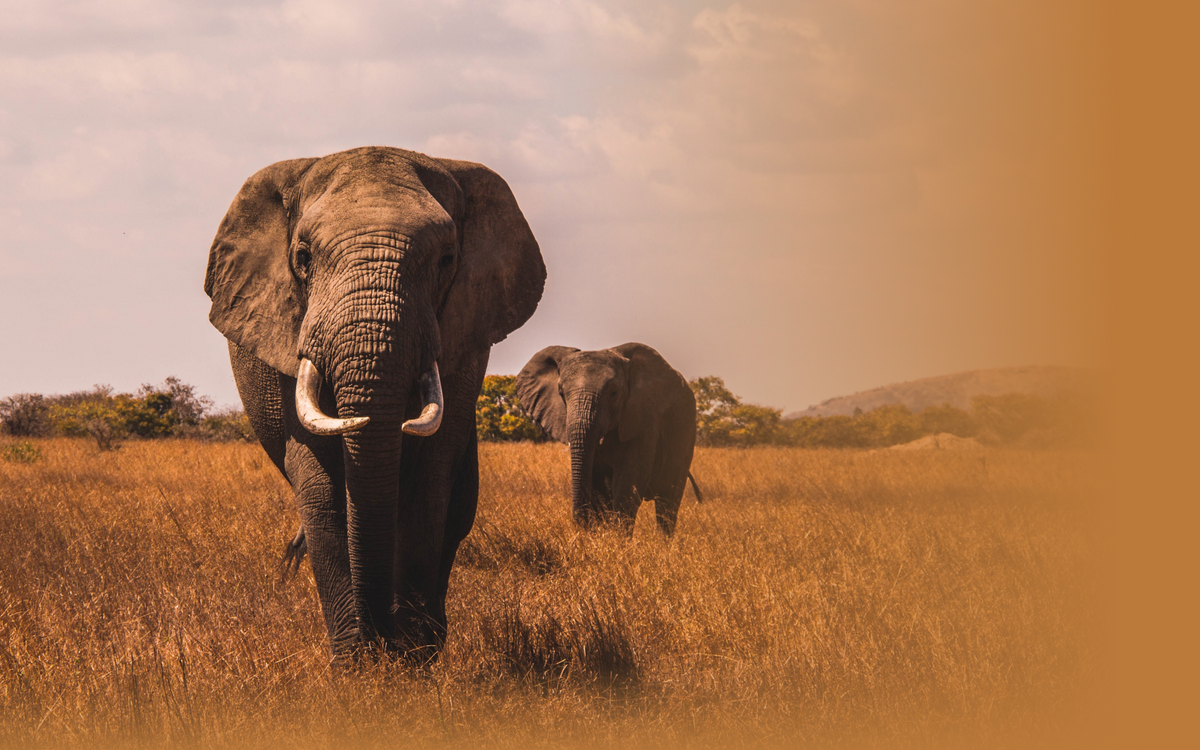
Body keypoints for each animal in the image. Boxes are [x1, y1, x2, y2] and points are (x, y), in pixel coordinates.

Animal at [204, 146, 545, 662]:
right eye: (302, 258)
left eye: (447, 259)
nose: (382, 639)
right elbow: (321, 488)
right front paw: (357, 664)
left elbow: (429, 485)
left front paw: (412, 659)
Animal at [515, 343, 701, 535]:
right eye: (561, 393)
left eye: (614, 393)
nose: (581, 527)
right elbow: (599, 488)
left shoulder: (643, 423)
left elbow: (628, 484)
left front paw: (618, 540)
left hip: (686, 435)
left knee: (668, 502)